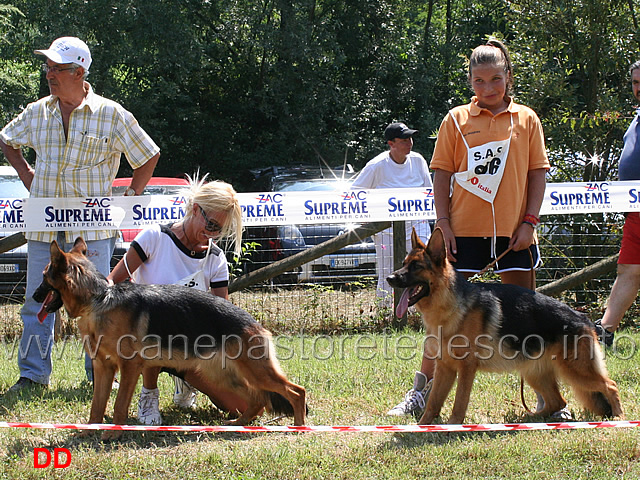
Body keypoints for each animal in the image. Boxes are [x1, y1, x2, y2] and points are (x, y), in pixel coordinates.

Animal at [32, 238, 308, 440]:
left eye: (44, 277)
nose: (34, 296)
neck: (99, 299)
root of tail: (255, 323)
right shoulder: (103, 368)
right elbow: (96, 405)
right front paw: (90, 430)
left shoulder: (128, 367)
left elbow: (119, 405)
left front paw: (112, 435)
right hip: (224, 375)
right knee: (258, 398)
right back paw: (239, 423)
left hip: (255, 372)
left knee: (296, 391)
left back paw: (299, 426)